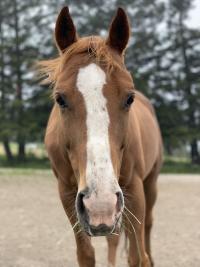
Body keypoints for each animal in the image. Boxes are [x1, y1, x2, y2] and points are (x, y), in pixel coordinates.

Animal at [40, 6, 162, 267]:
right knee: (113, 238)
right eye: (60, 99)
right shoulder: (68, 192)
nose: (100, 204)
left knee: (147, 227)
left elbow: (138, 257)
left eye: (129, 97)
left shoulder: (134, 188)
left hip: (147, 185)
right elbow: (86, 254)